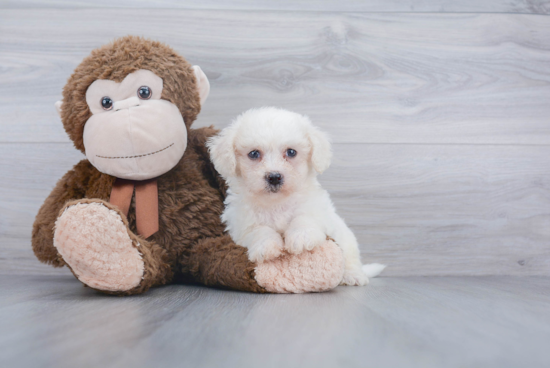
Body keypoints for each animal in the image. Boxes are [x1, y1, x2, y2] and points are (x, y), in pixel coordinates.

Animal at [209, 106, 386, 284]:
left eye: (291, 152)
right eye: (253, 154)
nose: (274, 177)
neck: (276, 203)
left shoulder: (316, 209)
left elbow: (303, 217)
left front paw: (301, 236)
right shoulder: (241, 225)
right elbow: (258, 230)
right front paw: (266, 246)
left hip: (346, 239)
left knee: (350, 258)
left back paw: (353, 275)